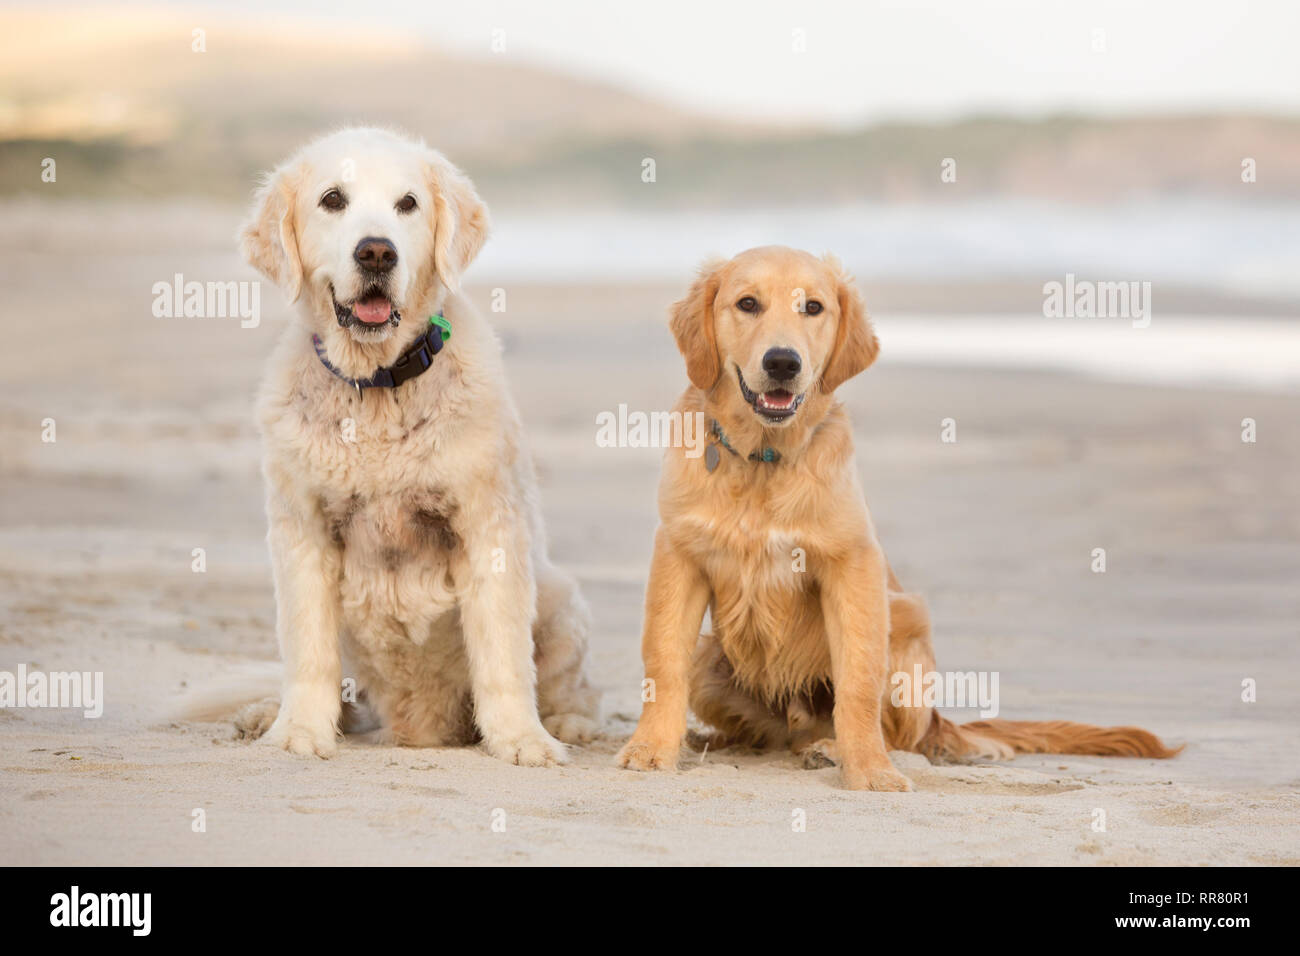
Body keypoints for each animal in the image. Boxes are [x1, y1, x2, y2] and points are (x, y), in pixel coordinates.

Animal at [235, 128, 598, 770]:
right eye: (333, 200)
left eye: (408, 204)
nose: (377, 253)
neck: (379, 387)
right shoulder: (301, 527)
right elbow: (308, 649)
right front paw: (299, 729)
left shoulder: (489, 524)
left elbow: (503, 654)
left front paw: (522, 739)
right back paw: (265, 713)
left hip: (560, 598)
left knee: (567, 684)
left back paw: (566, 722)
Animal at [616, 247, 1180, 790]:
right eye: (747, 303)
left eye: (813, 308)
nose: (782, 362)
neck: (765, 457)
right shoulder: (679, 554)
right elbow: (662, 661)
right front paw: (652, 748)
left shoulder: (853, 564)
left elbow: (859, 680)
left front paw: (870, 770)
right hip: (712, 657)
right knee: (776, 735)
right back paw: (719, 742)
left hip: (908, 626)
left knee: (895, 734)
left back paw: (832, 749)